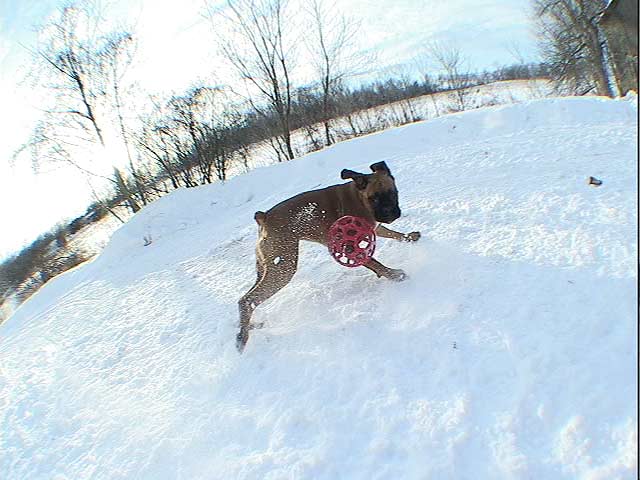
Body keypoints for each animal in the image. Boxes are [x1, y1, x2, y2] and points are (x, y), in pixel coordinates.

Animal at [237, 161, 420, 352]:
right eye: (374, 198)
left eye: (392, 192)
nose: (390, 213)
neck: (359, 197)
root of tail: (264, 217)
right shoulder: (348, 248)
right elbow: (375, 263)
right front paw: (394, 275)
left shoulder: (374, 228)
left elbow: (391, 233)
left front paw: (409, 237)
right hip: (283, 267)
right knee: (248, 300)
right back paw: (243, 337)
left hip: (266, 268)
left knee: (247, 299)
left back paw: (250, 327)